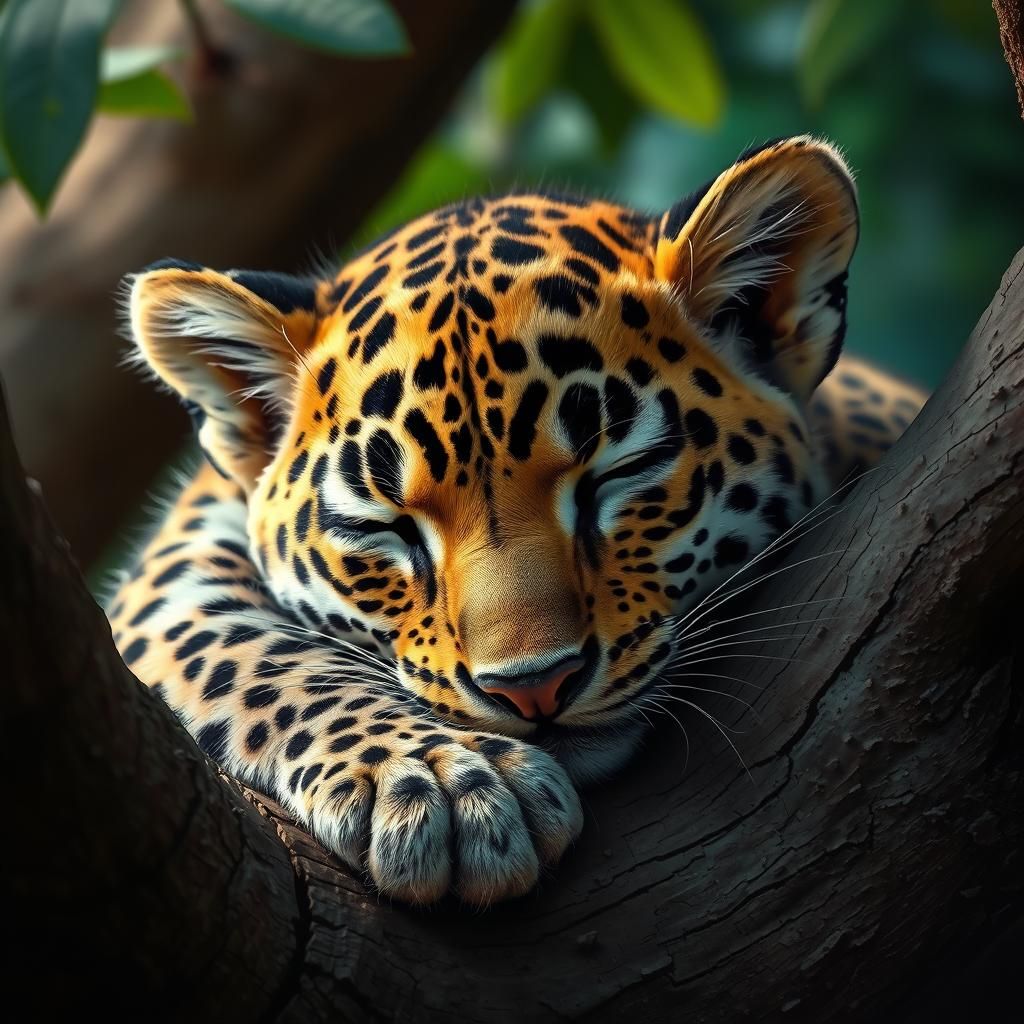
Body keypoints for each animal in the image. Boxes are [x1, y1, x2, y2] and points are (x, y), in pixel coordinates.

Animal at [106, 136, 927, 906]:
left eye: (618, 473)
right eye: (386, 527)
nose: (533, 689)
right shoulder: (174, 566)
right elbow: (250, 653)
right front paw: (438, 783)